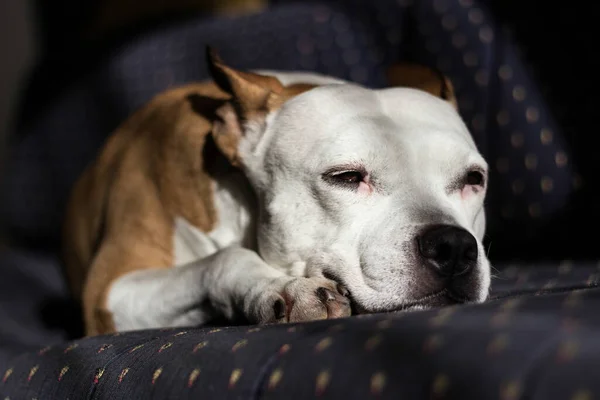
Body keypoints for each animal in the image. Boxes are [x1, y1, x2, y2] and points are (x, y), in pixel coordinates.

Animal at [63, 47, 490, 336]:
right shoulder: (107, 293)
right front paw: (282, 286)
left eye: (474, 179)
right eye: (347, 177)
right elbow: (224, 259)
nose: (453, 247)